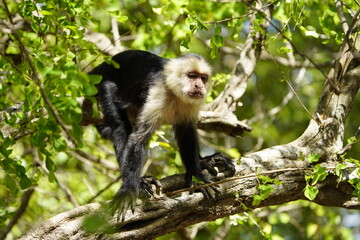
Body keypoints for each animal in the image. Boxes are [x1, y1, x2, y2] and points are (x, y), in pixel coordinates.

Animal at [90, 50, 235, 221]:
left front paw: (196, 174)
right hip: (105, 82)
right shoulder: (159, 92)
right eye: (192, 76)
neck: (175, 91)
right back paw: (139, 181)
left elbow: (186, 131)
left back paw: (205, 161)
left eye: (203, 78)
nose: (199, 86)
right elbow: (138, 138)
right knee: (119, 125)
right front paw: (128, 190)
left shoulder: (191, 103)